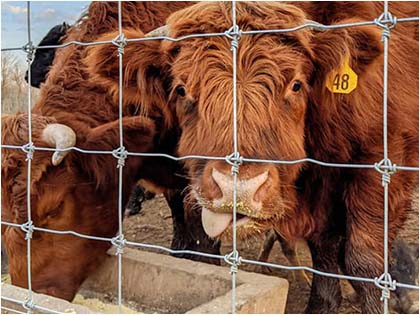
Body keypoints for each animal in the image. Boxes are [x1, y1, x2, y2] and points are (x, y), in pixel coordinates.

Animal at [83, 1, 418, 314]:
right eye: (181, 89)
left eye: (296, 84)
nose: (238, 189)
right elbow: (323, 245)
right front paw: (322, 304)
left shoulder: (384, 158)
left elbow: (364, 258)